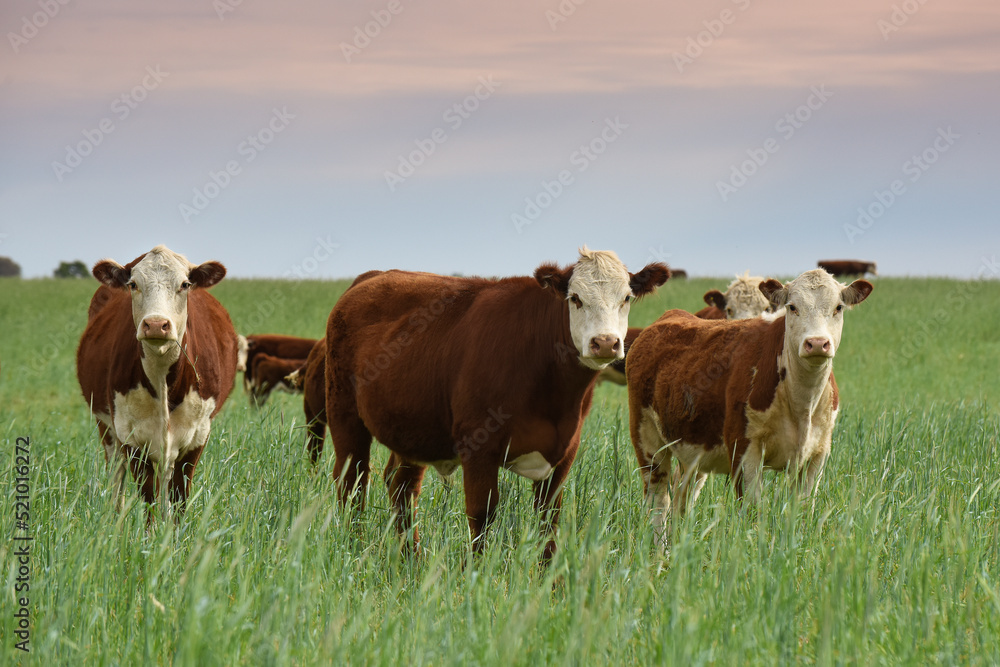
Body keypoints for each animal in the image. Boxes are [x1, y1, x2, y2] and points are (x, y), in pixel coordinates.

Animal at [76, 247, 240, 520]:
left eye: (185, 284)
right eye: (133, 284)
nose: (155, 324)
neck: (163, 379)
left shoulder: (197, 437)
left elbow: (180, 498)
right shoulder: (131, 437)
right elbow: (148, 499)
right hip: (107, 427)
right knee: (117, 480)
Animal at [328, 248, 668, 560]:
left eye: (626, 298)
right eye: (575, 298)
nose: (605, 342)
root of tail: (373, 276)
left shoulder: (563, 454)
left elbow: (549, 521)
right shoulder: (479, 448)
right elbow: (482, 515)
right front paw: (475, 575)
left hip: (412, 430)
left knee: (401, 487)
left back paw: (410, 558)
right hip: (344, 416)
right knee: (352, 483)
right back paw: (352, 549)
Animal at [628, 268, 872, 544]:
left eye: (838, 307)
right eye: (792, 307)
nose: (818, 343)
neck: (802, 403)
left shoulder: (817, 455)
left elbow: (803, 511)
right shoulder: (744, 449)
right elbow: (754, 512)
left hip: (694, 449)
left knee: (683, 497)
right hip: (647, 440)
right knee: (658, 500)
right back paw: (657, 549)